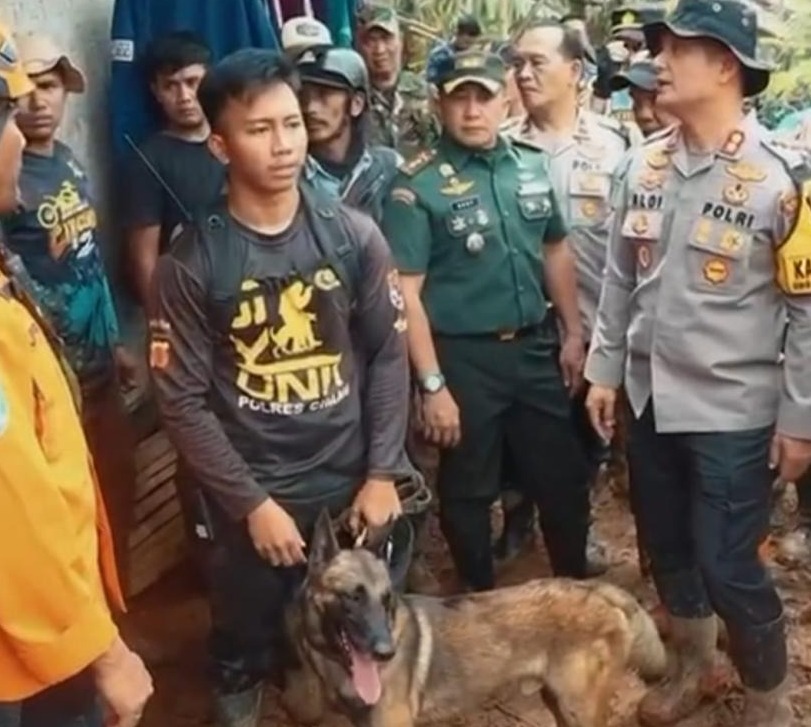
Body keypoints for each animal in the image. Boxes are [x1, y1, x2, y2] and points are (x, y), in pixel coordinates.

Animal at [282, 512, 668, 727]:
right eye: (353, 596)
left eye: (386, 599)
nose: (385, 652)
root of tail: (597, 589)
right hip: (558, 703)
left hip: (579, 708)